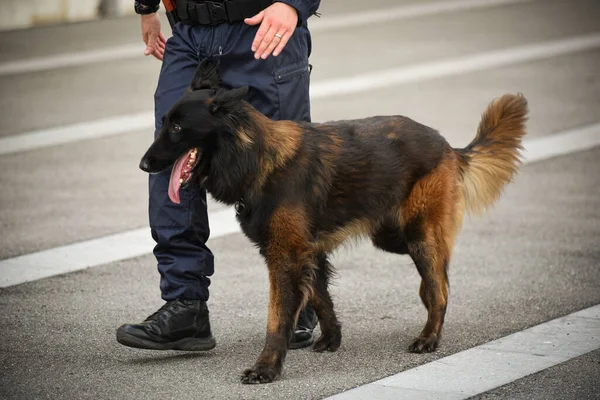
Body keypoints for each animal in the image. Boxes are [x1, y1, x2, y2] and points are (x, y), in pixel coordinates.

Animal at [138, 59, 528, 384]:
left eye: (177, 127)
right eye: (164, 123)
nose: (143, 165)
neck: (258, 157)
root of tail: (447, 146)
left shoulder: (285, 257)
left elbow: (277, 318)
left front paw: (267, 368)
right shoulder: (308, 253)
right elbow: (320, 296)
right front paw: (332, 338)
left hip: (418, 235)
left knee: (440, 285)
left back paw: (429, 336)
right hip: (392, 237)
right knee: (436, 281)